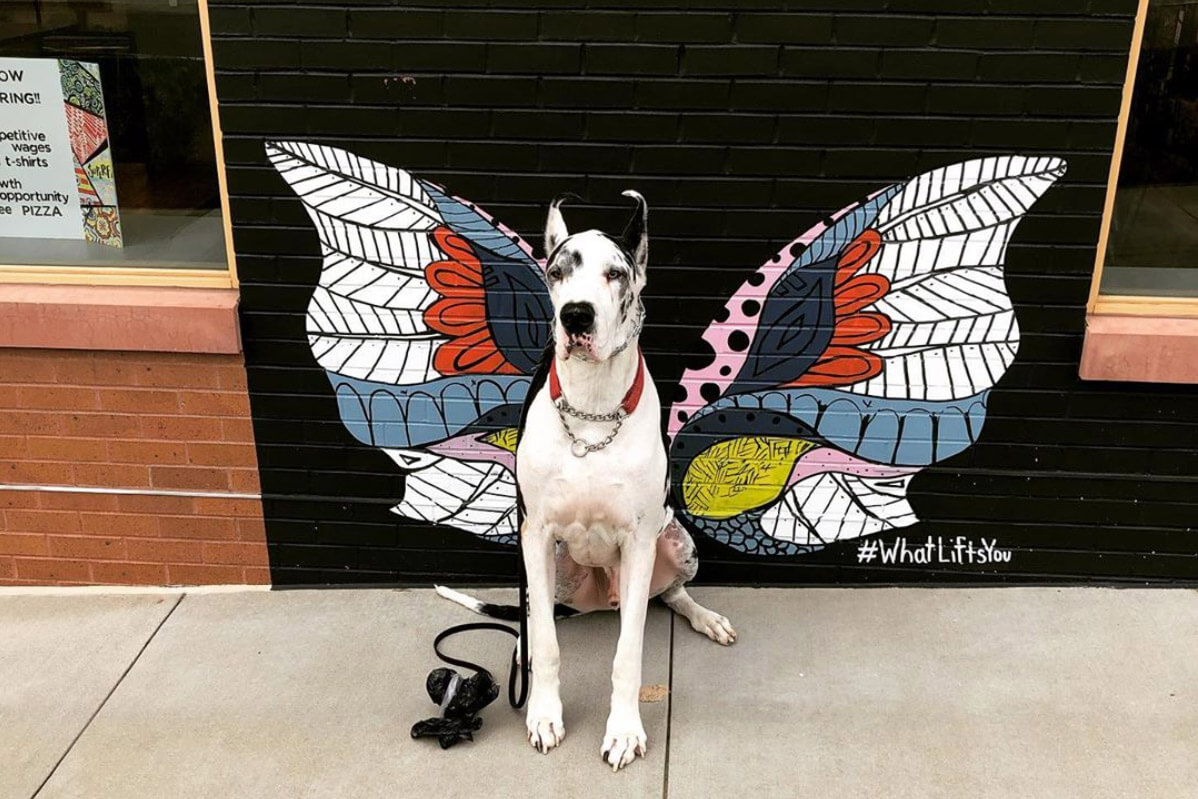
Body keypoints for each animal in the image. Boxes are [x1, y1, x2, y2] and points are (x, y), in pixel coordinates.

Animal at [438, 191, 735, 771]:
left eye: (615, 274)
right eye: (557, 272)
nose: (575, 314)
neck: (593, 408)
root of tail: (602, 600)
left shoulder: (640, 540)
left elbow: (628, 655)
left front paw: (623, 731)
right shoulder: (534, 531)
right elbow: (550, 647)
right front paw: (543, 714)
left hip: (676, 540)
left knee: (670, 596)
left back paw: (704, 616)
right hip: (549, 564)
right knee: (537, 616)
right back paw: (523, 647)